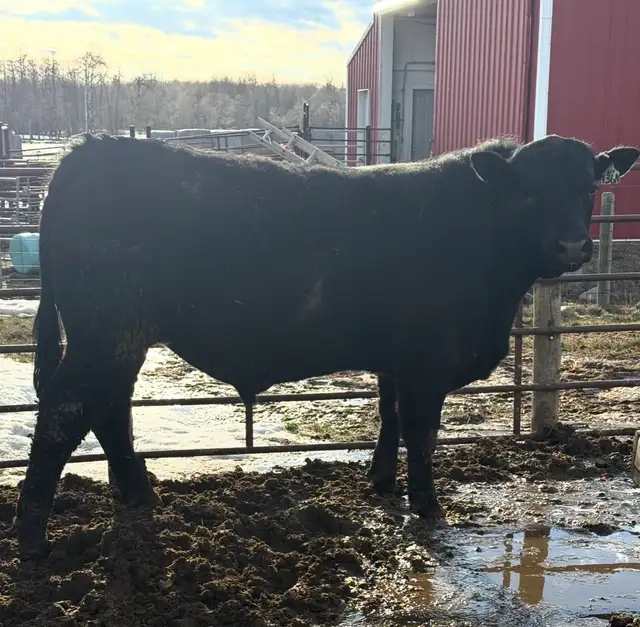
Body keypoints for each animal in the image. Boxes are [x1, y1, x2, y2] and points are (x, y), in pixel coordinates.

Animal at [15, 132, 639, 560]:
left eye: (589, 188)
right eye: (528, 192)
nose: (571, 246)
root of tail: (87, 152)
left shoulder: (396, 359)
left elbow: (389, 417)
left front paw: (382, 486)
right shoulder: (427, 364)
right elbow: (422, 432)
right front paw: (428, 507)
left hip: (120, 339)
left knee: (107, 410)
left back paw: (138, 496)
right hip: (106, 333)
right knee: (66, 413)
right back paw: (34, 539)